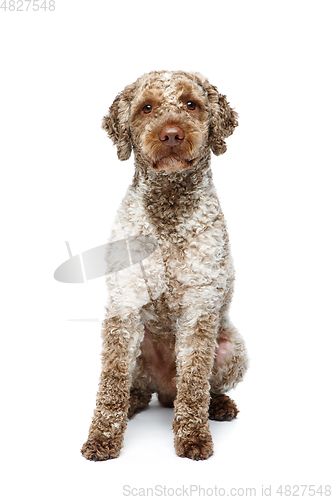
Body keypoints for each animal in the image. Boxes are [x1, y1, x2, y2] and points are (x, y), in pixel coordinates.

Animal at [80, 70, 246, 460]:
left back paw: (218, 405)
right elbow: (111, 381)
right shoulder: (124, 306)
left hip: (233, 349)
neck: (169, 205)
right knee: (135, 387)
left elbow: (195, 381)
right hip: (140, 354)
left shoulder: (200, 306)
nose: (171, 134)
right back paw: (133, 401)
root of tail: (165, 390)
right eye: (146, 107)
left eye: (191, 104)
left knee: (200, 388)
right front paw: (103, 437)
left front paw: (194, 437)